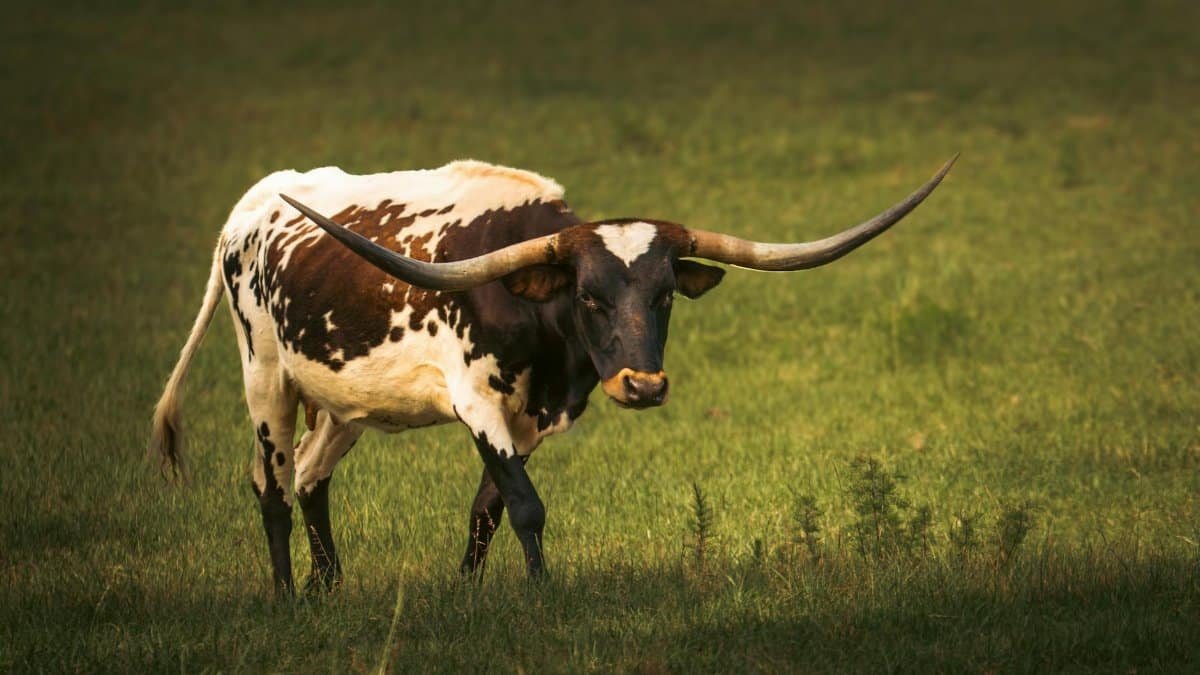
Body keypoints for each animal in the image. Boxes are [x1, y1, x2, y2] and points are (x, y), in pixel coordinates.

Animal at [150, 157, 955, 594]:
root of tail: (253, 205)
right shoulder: (476, 400)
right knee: (272, 485)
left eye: (664, 295)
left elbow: (488, 508)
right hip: (266, 379)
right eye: (589, 296)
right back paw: (288, 593)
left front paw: (467, 592)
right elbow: (525, 505)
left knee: (313, 477)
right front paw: (540, 593)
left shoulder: (533, 415)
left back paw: (329, 585)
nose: (643, 386)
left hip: (344, 400)